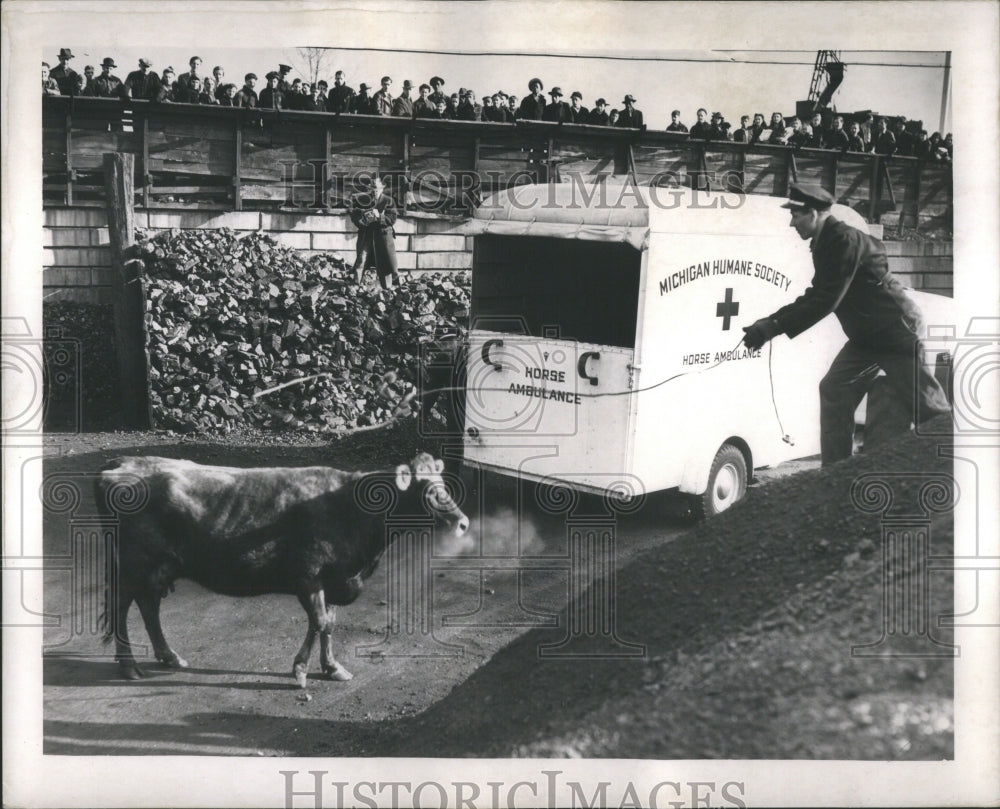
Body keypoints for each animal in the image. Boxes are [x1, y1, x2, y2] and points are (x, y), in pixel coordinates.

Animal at [94, 452, 468, 684]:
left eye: (443, 485)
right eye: (425, 490)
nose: (462, 522)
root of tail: (120, 463)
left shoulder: (332, 579)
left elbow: (328, 623)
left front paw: (332, 667)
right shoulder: (308, 576)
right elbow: (319, 622)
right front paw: (301, 670)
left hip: (161, 566)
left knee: (148, 606)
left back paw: (169, 656)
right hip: (133, 564)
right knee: (123, 605)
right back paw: (129, 666)